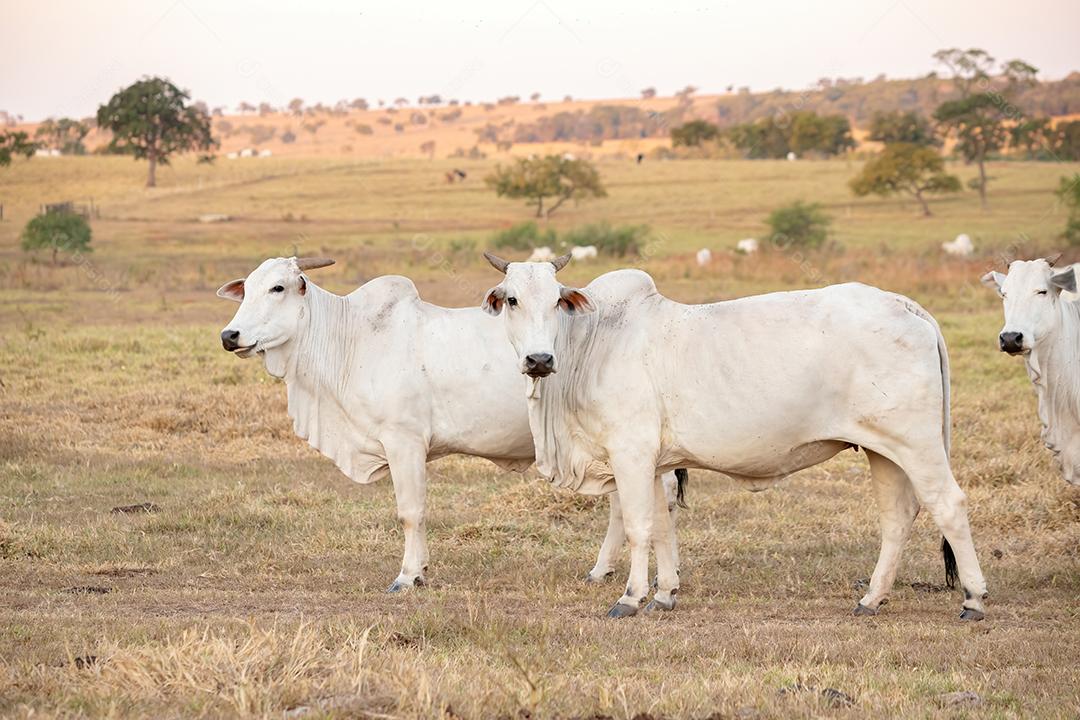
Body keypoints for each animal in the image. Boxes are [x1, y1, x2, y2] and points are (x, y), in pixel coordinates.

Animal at [217, 256, 684, 591]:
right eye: (247, 289)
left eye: (278, 287)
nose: (229, 335)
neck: (353, 337)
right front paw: (420, 569)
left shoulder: (403, 442)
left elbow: (411, 512)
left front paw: (408, 576)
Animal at [481, 251, 988, 621]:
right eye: (512, 300)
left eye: (556, 301)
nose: (539, 359)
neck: (595, 341)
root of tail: (903, 304)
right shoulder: (657, 463)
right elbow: (662, 525)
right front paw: (664, 594)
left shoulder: (631, 454)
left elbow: (638, 525)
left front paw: (630, 597)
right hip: (884, 450)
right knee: (897, 517)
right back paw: (871, 599)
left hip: (918, 444)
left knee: (949, 505)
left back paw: (973, 599)